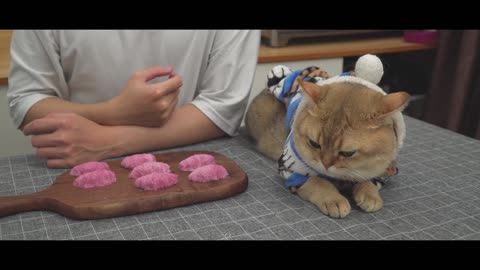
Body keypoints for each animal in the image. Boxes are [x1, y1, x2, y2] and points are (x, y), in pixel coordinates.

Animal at [248, 56, 408, 218]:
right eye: (314, 144)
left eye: (348, 153)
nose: (325, 165)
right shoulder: (291, 169)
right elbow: (317, 181)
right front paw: (334, 199)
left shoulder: (381, 170)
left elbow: (368, 180)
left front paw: (370, 194)